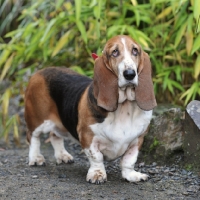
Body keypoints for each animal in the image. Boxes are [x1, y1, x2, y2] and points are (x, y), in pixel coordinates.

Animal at [24, 35, 156, 184]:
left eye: (135, 51)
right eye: (114, 52)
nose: (130, 74)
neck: (124, 106)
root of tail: (39, 72)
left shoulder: (138, 140)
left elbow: (129, 160)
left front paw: (132, 175)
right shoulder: (88, 137)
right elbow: (96, 157)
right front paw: (97, 174)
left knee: (54, 135)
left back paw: (63, 156)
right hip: (38, 120)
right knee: (32, 137)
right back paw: (36, 158)